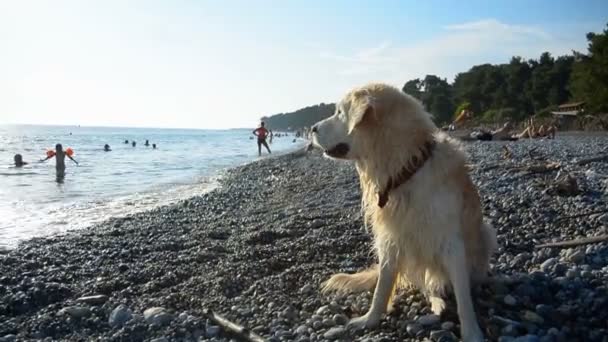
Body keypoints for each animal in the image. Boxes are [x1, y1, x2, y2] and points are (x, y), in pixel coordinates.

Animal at [312, 83, 496, 342]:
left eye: (339, 112)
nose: (311, 129)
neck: (405, 169)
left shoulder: (451, 242)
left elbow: (463, 297)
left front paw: (472, 333)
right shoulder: (390, 240)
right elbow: (382, 287)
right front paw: (369, 320)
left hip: (487, 232)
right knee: (428, 286)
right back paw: (437, 302)